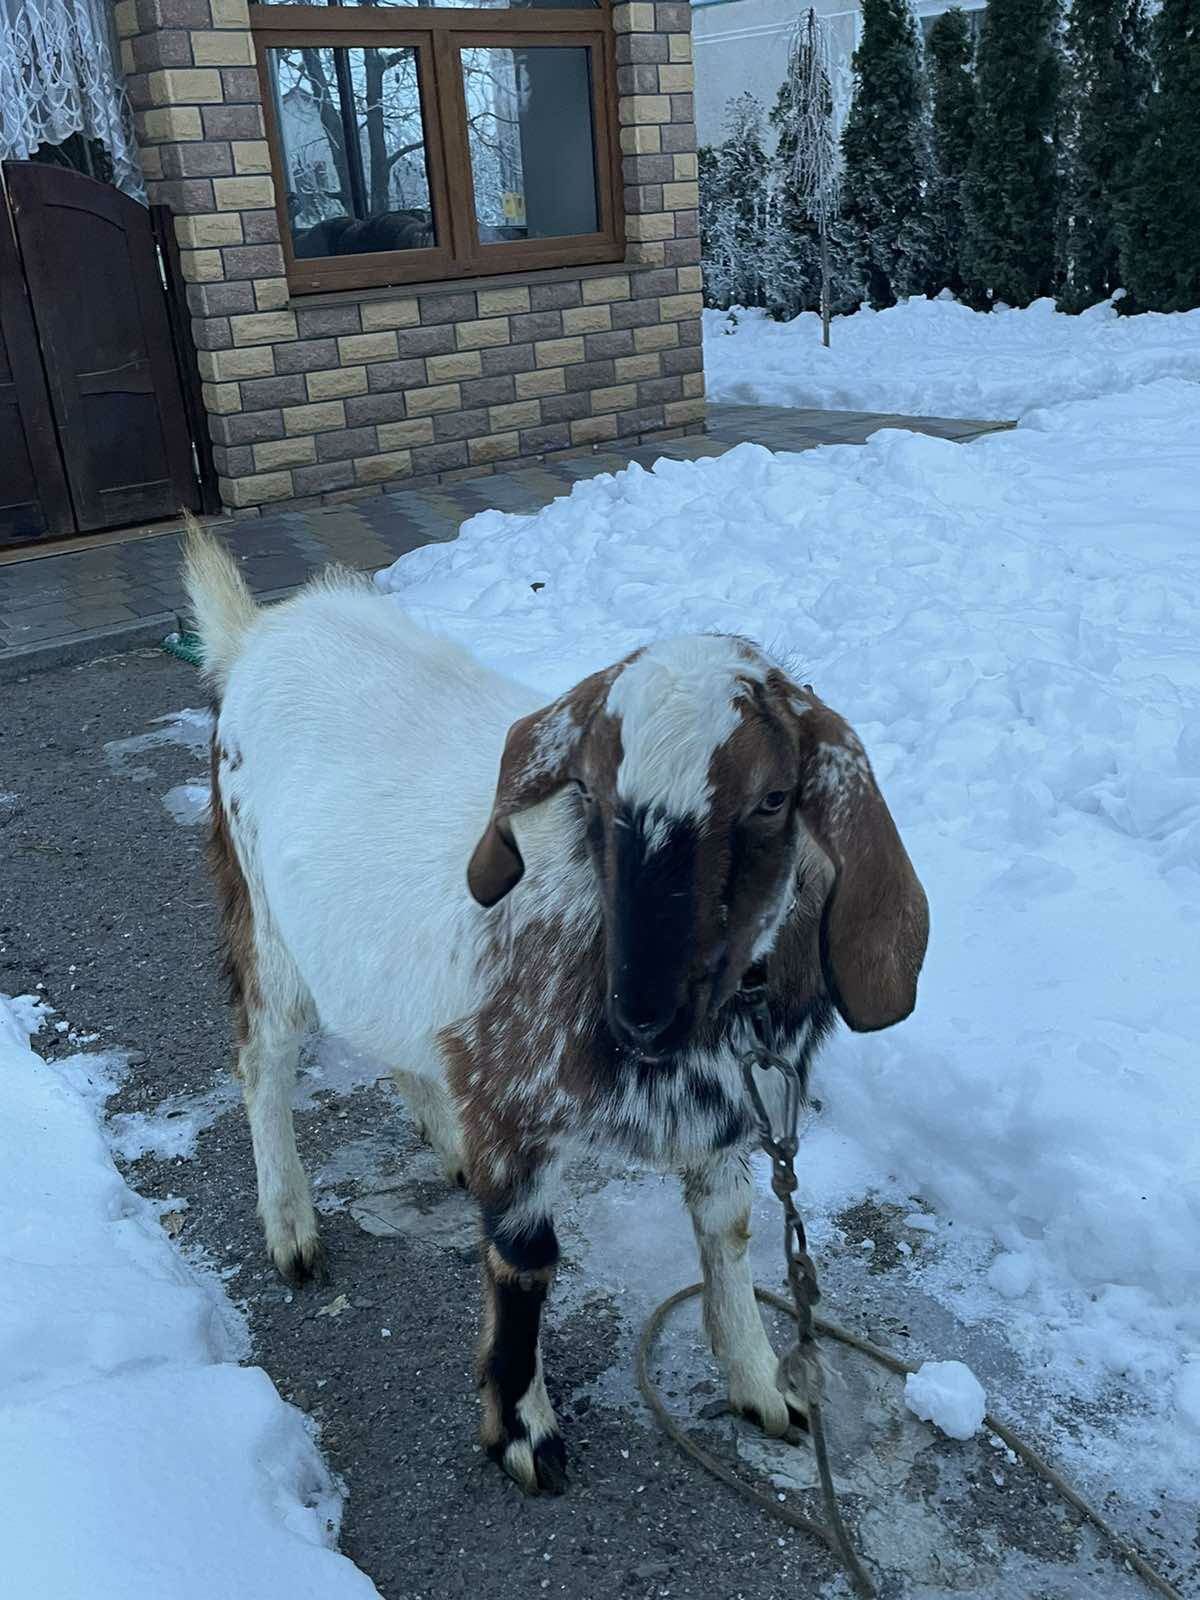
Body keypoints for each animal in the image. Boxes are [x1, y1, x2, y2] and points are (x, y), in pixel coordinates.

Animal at [183, 518, 928, 1491]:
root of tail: (259, 635)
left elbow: (729, 1234)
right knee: (260, 1058)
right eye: (593, 790)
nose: (643, 1012)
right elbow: (525, 1260)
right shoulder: (515, 1099)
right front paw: (522, 1432)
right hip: (267, 923)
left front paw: (764, 1386)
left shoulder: (725, 1117)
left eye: (773, 798)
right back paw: (292, 1228)